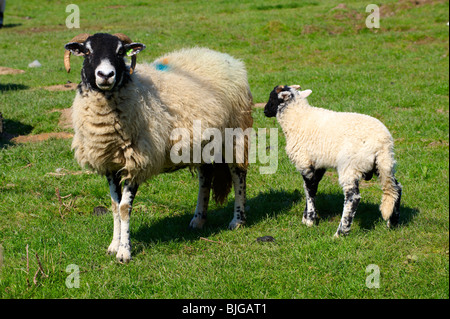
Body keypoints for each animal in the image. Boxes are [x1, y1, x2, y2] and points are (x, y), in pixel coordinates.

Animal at [63, 33, 253, 262]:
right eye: (87, 51)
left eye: (120, 52)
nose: (106, 75)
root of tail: (224, 56)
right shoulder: (110, 165)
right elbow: (115, 207)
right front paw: (113, 245)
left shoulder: (137, 163)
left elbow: (125, 208)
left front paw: (124, 252)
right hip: (203, 144)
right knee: (205, 177)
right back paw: (198, 219)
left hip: (235, 135)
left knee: (238, 175)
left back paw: (238, 220)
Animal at [262, 85, 402, 238]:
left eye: (272, 97)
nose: (265, 111)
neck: (297, 117)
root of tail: (383, 143)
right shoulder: (318, 164)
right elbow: (312, 188)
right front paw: (307, 216)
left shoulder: (304, 162)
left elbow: (309, 190)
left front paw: (310, 220)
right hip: (383, 165)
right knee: (396, 188)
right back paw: (392, 222)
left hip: (350, 165)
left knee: (353, 197)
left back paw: (341, 232)